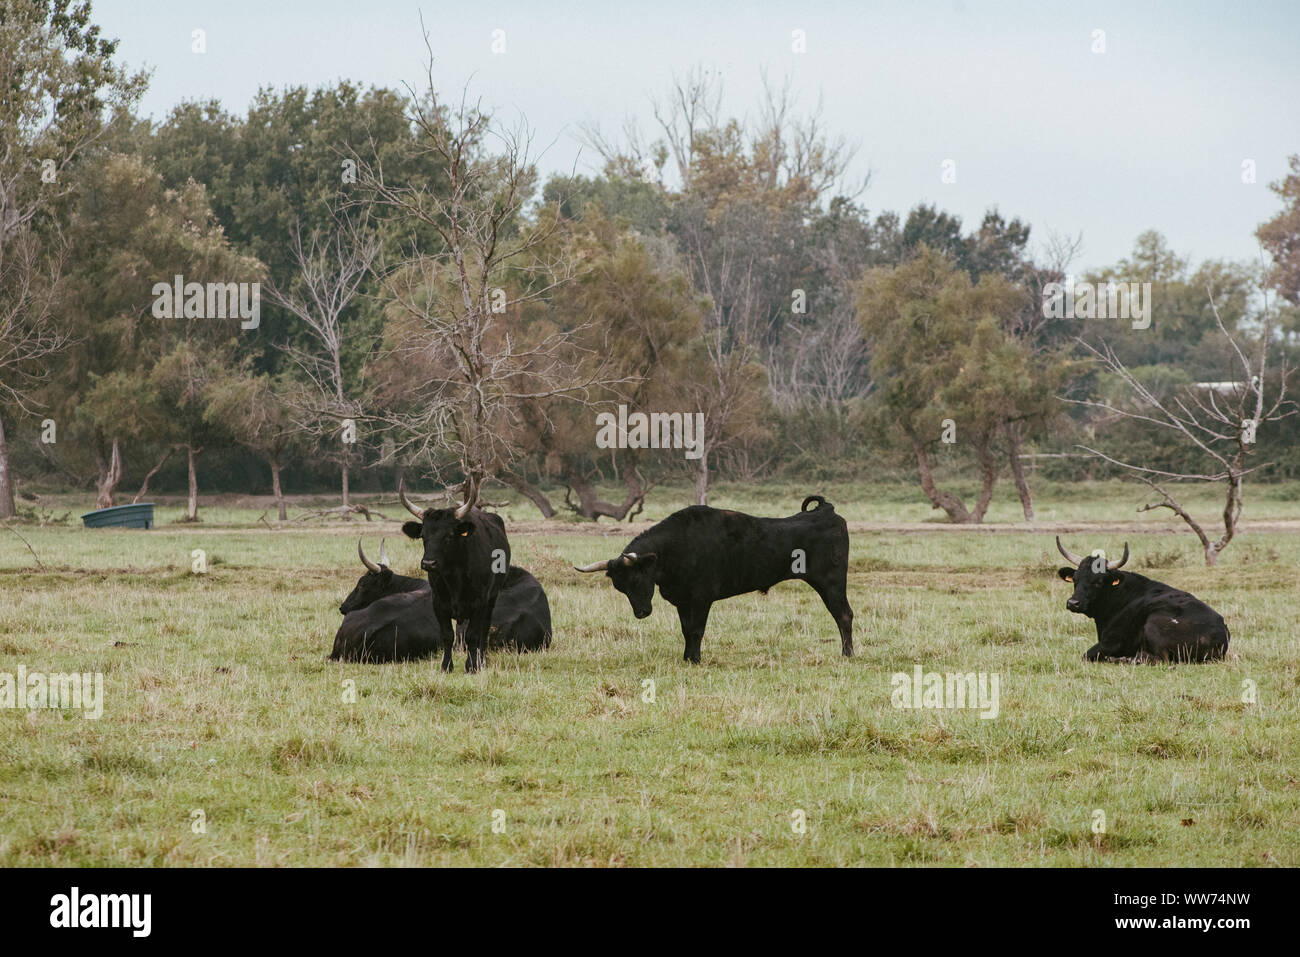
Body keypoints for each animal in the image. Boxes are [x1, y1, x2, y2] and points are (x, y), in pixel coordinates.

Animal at [572, 496, 852, 660]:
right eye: (620, 587)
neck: (677, 547)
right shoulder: (683, 602)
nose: (641, 613)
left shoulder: (701, 598)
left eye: (638, 579)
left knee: (843, 615)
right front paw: (687, 657)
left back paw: (847, 654)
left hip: (831, 584)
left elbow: (696, 629)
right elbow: (687, 630)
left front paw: (695, 659)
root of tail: (826, 511)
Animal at [1055, 538, 1227, 665]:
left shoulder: (1110, 642)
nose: (1073, 603)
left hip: (1154, 622)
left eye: (1098, 581)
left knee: (1160, 659)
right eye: (1075, 579)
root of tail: (1221, 631)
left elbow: (1086, 655)